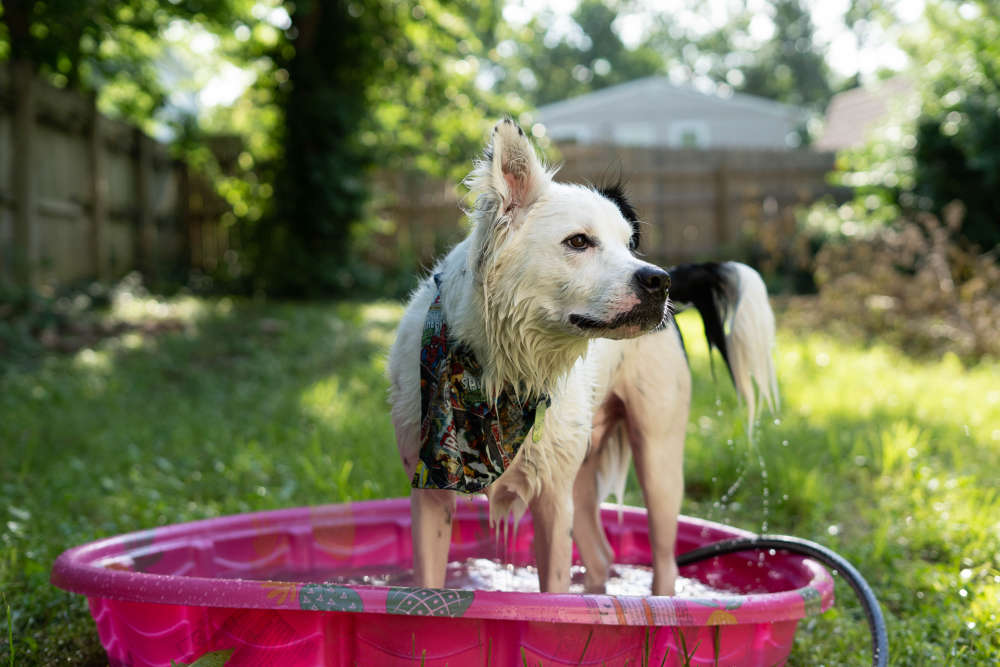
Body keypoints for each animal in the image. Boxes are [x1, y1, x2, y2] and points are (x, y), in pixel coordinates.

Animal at [386, 118, 776, 596]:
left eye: (629, 244)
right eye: (578, 241)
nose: (659, 282)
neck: (504, 370)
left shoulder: (553, 500)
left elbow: (555, 596)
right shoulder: (430, 494)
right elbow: (428, 583)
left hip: (659, 460)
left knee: (665, 565)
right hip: (585, 475)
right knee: (601, 558)